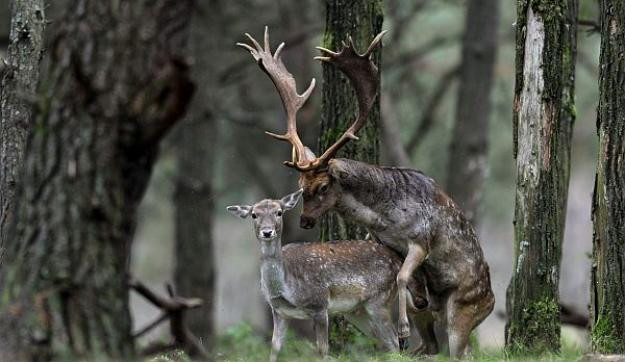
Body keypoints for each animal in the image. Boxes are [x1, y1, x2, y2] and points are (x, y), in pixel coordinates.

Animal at [225, 189, 434, 362]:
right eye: (254, 215)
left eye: (279, 212)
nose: (267, 232)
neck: (285, 287)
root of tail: (398, 260)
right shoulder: (278, 310)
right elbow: (274, 350)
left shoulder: (319, 304)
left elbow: (322, 350)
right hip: (357, 311)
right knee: (386, 342)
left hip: (379, 299)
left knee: (395, 341)